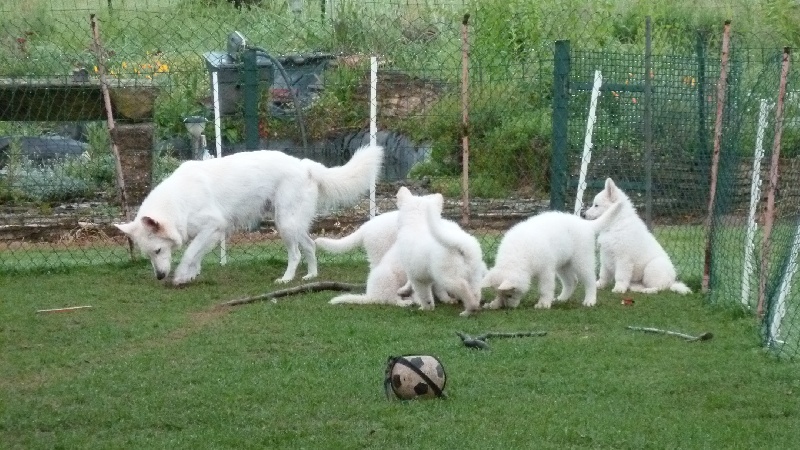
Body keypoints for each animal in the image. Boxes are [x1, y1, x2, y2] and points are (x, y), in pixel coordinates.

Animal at [115, 144, 384, 284]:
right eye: (149, 254)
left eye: (158, 250)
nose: (160, 277)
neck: (180, 200)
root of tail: (305, 165)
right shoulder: (211, 234)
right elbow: (196, 255)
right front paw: (191, 274)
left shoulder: (212, 227)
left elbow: (190, 253)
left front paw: (181, 276)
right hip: (293, 223)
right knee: (310, 245)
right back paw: (311, 275)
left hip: (285, 223)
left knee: (296, 254)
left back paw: (286, 279)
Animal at [392, 186, 484, 316]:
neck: (418, 222)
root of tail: (462, 245)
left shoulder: (417, 277)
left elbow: (424, 295)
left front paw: (425, 308)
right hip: (474, 275)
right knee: (476, 293)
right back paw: (470, 310)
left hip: (448, 276)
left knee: (463, 288)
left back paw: (469, 309)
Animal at [478, 204, 620, 310]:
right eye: (500, 295)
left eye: (509, 295)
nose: (507, 307)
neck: (518, 257)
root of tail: (584, 224)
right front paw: (494, 303)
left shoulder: (545, 271)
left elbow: (544, 289)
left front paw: (543, 303)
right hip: (563, 265)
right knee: (571, 281)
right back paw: (562, 299)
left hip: (581, 261)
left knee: (590, 281)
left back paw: (590, 300)